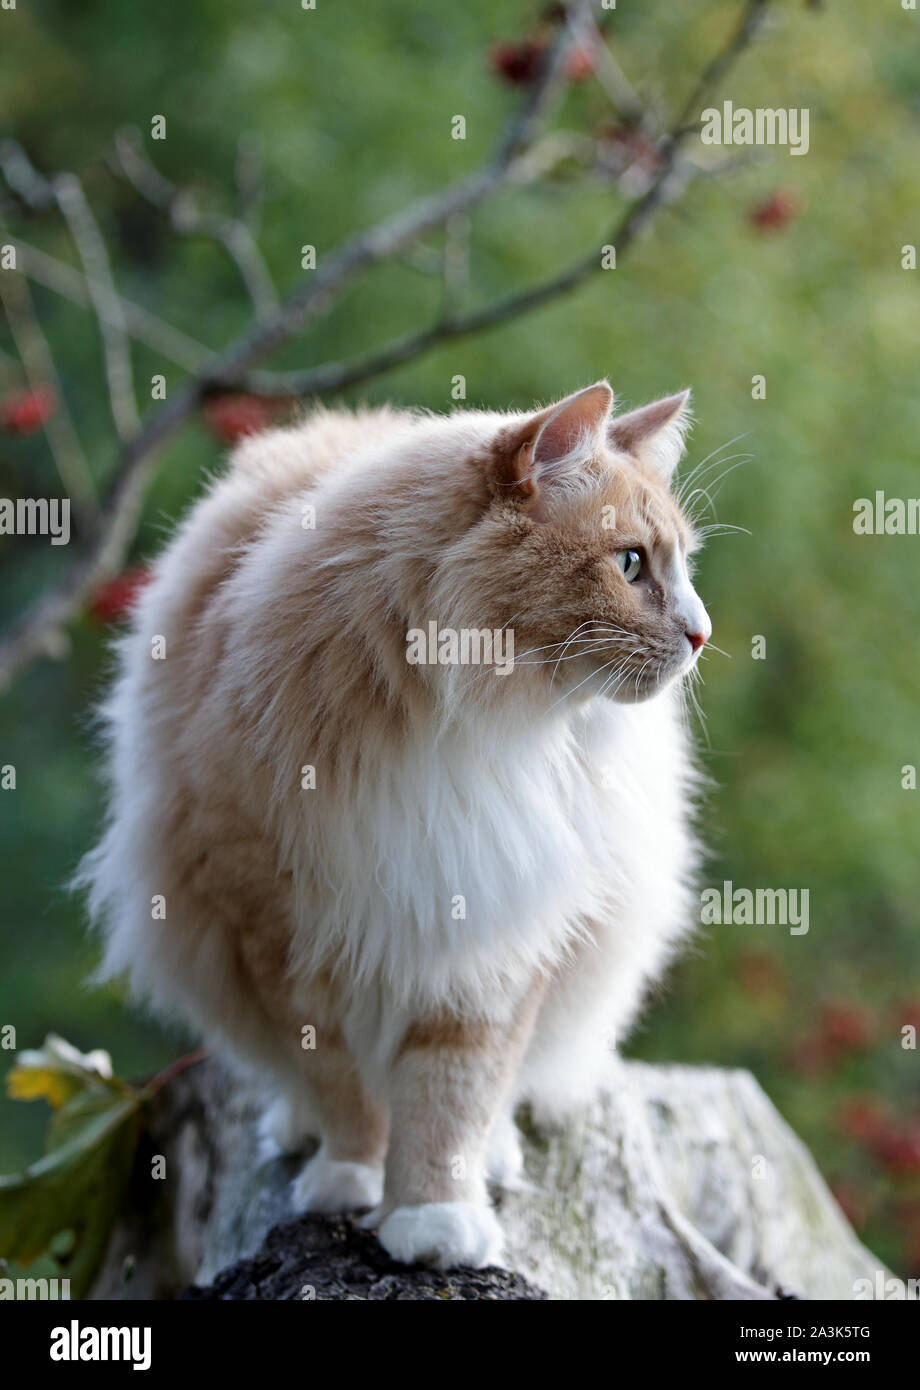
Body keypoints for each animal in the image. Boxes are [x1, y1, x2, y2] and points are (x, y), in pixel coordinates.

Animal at [79, 378, 711, 1273]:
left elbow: (451, 1097)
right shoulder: (279, 931)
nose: (702, 634)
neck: (475, 723)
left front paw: (436, 1215)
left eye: (684, 566)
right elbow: (340, 1083)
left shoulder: (494, 941)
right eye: (630, 565)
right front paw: (351, 1176)